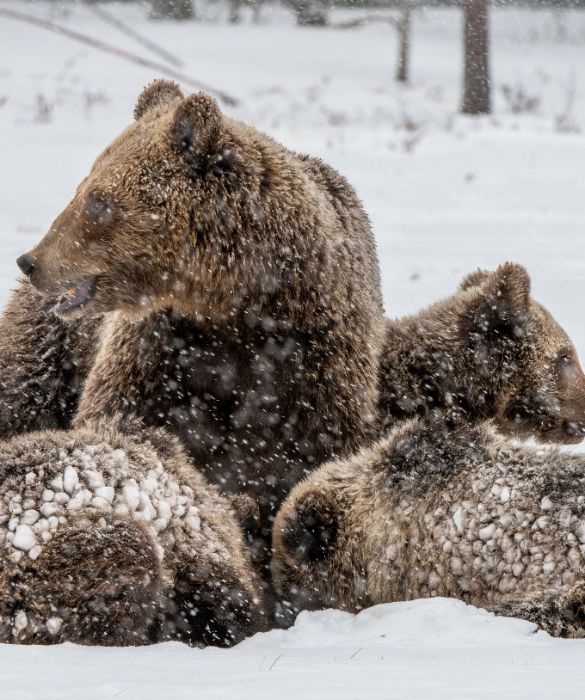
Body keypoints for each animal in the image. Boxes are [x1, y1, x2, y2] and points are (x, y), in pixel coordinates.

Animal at [9, 79, 384, 568]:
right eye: (83, 189)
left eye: (98, 201)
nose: (30, 261)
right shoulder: (162, 350)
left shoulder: (312, 363)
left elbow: (306, 456)